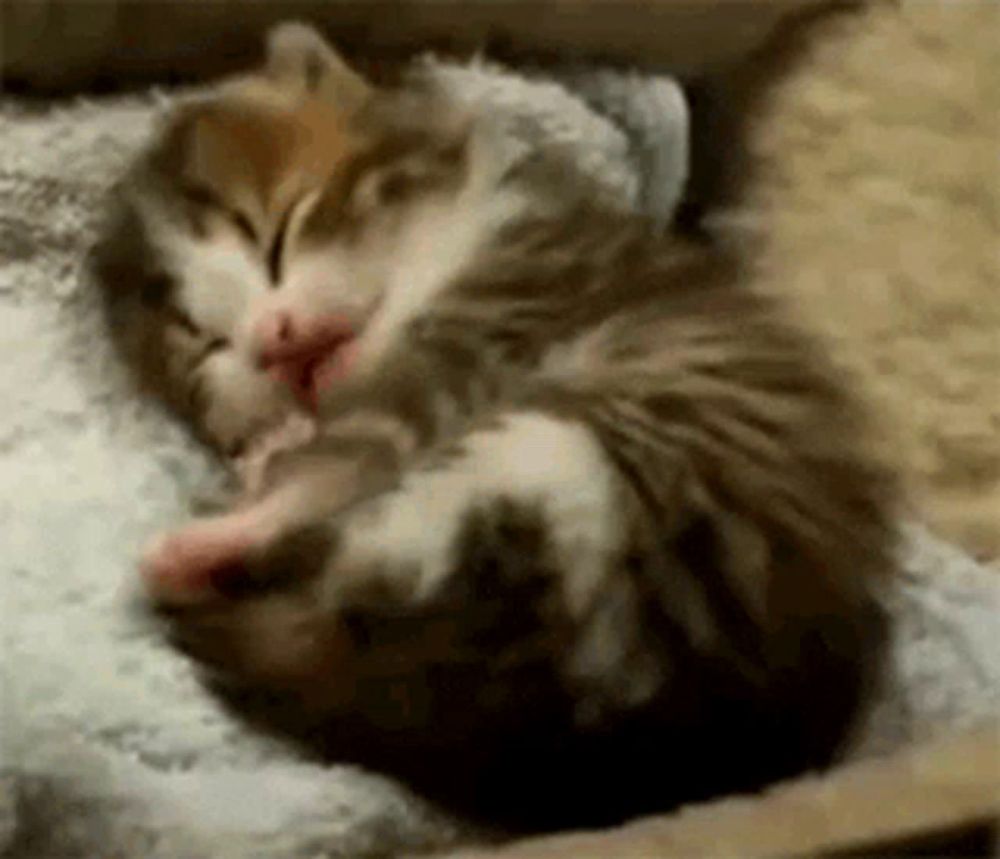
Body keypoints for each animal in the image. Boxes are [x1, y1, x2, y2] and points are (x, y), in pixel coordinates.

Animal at [90, 23, 896, 832]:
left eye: (279, 233)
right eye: (208, 344)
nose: (273, 340)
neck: (452, 233)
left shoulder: (477, 338)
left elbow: (341, 461)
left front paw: (243, 502)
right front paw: (267, 441)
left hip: (557, 469)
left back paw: (200, 549)